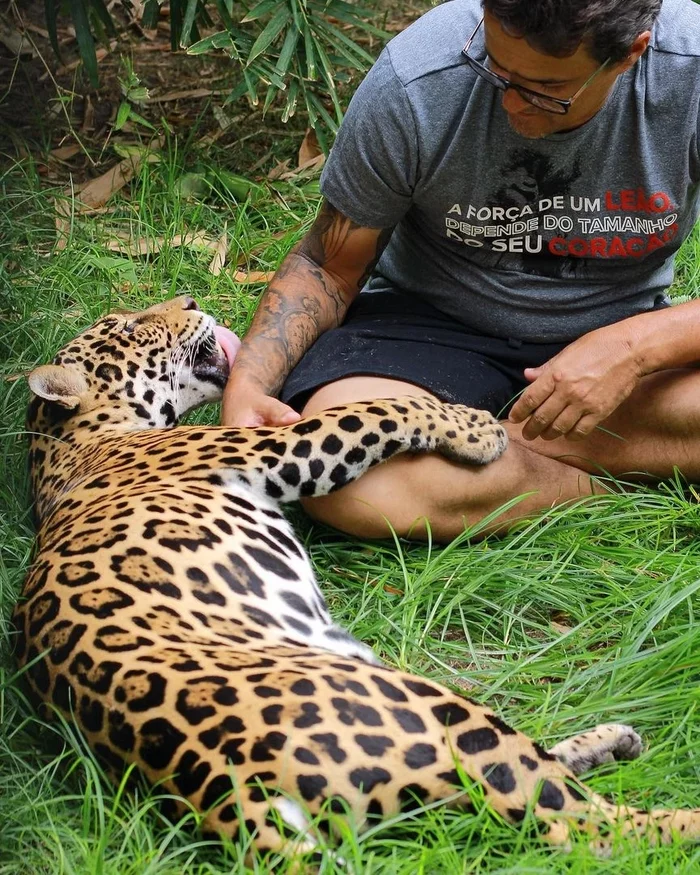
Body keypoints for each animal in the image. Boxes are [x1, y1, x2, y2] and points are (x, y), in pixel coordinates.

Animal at [12, 295, 700, 863]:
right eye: (131, 328)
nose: (188, 299)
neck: (69, 443)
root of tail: (233, 800)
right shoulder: (281, 445)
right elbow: (381, 405)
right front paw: (476, 430)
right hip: (427, 706)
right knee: (582, 824)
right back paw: (675, 811)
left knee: (517, 794)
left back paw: (611, 742)